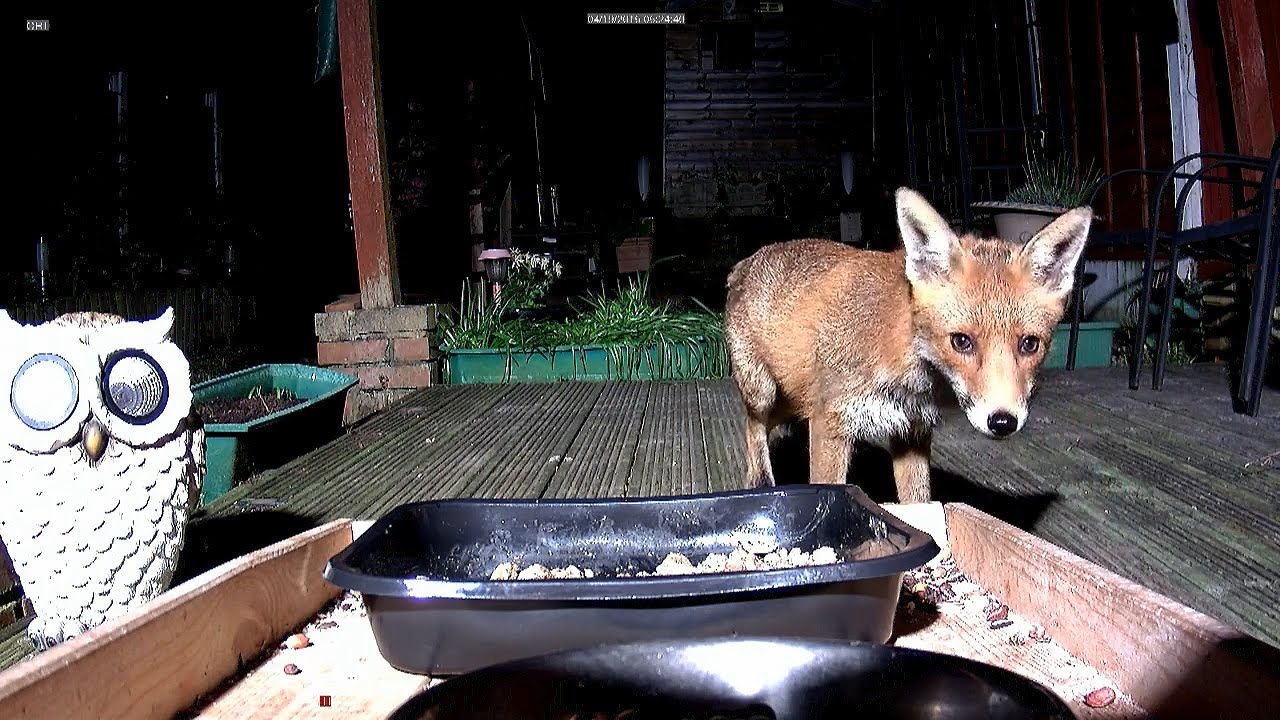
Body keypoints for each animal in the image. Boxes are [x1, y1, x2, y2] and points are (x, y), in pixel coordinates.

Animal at [724, 187, 1093, 503]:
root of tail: (747, 260)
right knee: (753, 425)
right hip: (766, 392)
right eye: (961, 342)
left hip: (794, 400)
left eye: (1030, 344)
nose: (1002, 422)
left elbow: (918, 501)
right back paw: (759, 480)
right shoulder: (830, 423)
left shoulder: (910, 433)